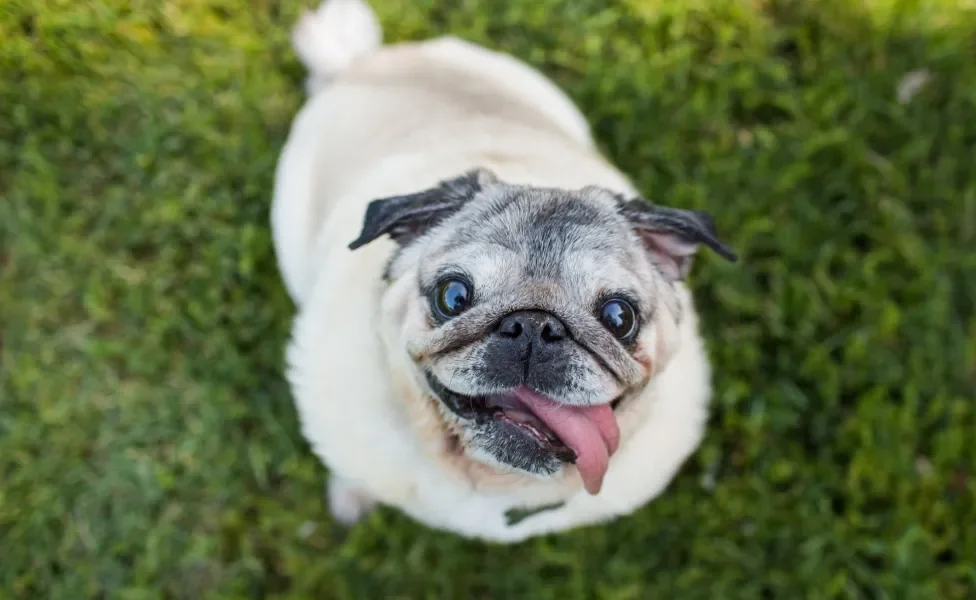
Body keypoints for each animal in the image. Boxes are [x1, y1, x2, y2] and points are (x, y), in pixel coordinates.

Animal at [270, 0, 736, 544]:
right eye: (453, 297)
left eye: (619, 318)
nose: (534, 325)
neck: (497, 480)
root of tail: (363, 62)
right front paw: (352, 496)